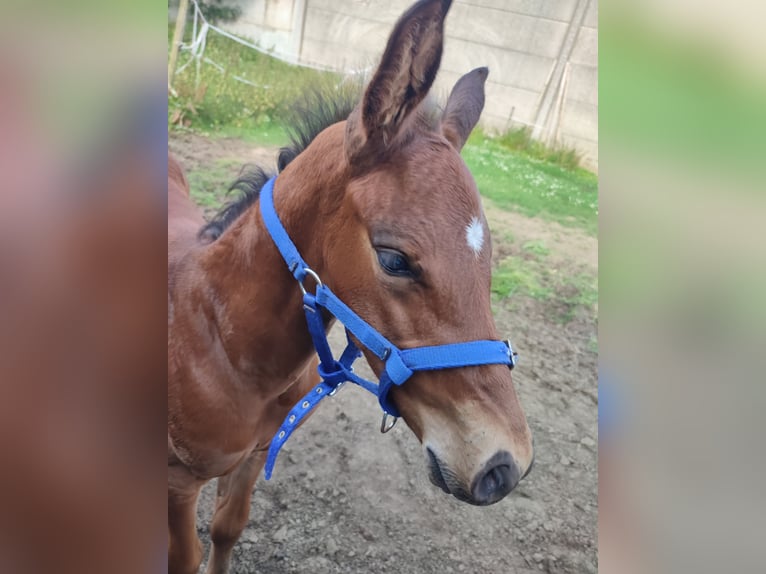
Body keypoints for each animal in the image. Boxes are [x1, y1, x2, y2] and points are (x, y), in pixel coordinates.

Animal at [170, 1, 536, 574]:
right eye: (393, 259)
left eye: (488, 259)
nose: (504, 467)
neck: (217, 337)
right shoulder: (177, 483)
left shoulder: (256, 454)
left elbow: (228, 526)